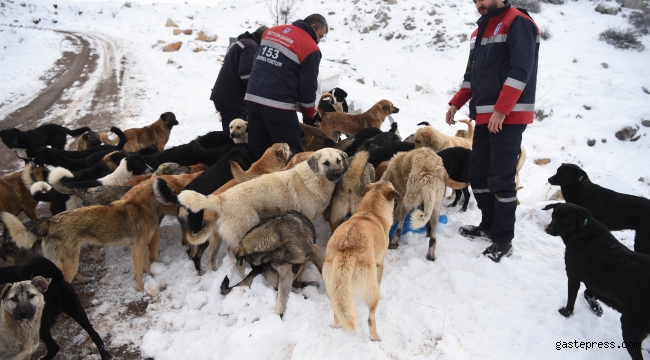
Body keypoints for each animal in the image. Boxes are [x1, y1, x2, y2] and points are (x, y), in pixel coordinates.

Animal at [0, 173, 199, 292]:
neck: (143, 205)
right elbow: (140, 271)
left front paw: (152, 277)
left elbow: (147, 265)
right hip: (70, 262)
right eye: (173, 190)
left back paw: (83, 280)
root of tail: (48, 222)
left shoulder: (140, 246)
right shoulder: (138, 247)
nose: (181, 199)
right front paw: (142, 290)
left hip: (69, 261)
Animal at [172, 148, 344, 276]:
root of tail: (221, 198)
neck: (313, 178)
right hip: (245, 229)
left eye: (339, 161)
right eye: (325, 163)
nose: (338, 174)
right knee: (233, 255)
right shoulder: (306, 218)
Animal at [322, 181, 398, 342]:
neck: (371, 212)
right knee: (370, 319)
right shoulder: (380, 263)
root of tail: (346, 250)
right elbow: (380, 280)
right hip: (371, 292)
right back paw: (376, 337)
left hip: (333, 291)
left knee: (337, 314)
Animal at [540, 202, 648, 360]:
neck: (582, 232)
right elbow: (588, 294)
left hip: (630, 326)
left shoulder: (573, 278)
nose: (548, 229)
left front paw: (567, 313)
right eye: (554, 215)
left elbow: (571, 300)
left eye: (565, 219)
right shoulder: (596, 284)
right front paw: (598, 310)